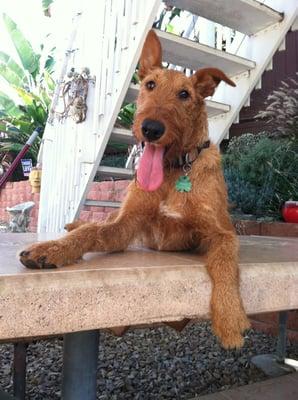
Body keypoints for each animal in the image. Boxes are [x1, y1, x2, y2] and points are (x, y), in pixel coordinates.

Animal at [19, 30, 249, 346]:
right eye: (150, 85)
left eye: (184, 95)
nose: (151, 128)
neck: (174, 170)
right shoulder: (126, 226)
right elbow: (92, 231)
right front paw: (53, 249)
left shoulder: (220, 233)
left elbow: (225, 263)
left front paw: (230, 317)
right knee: (96, 221)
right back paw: (72, 226)